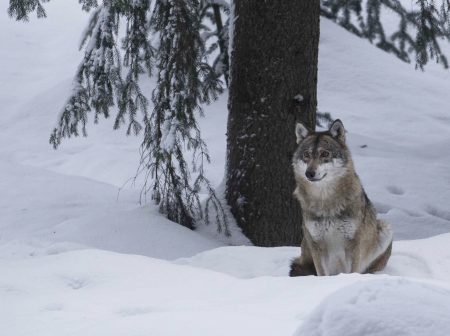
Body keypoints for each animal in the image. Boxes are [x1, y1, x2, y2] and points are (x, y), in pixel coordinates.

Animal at [290, 119, 392, 276]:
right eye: (306, 155)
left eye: (324, 154)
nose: (309, 173)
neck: (326, 201)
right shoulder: (316, 244)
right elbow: (321, 274)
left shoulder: (354, 243)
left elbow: (353, 271)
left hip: (385, 228)